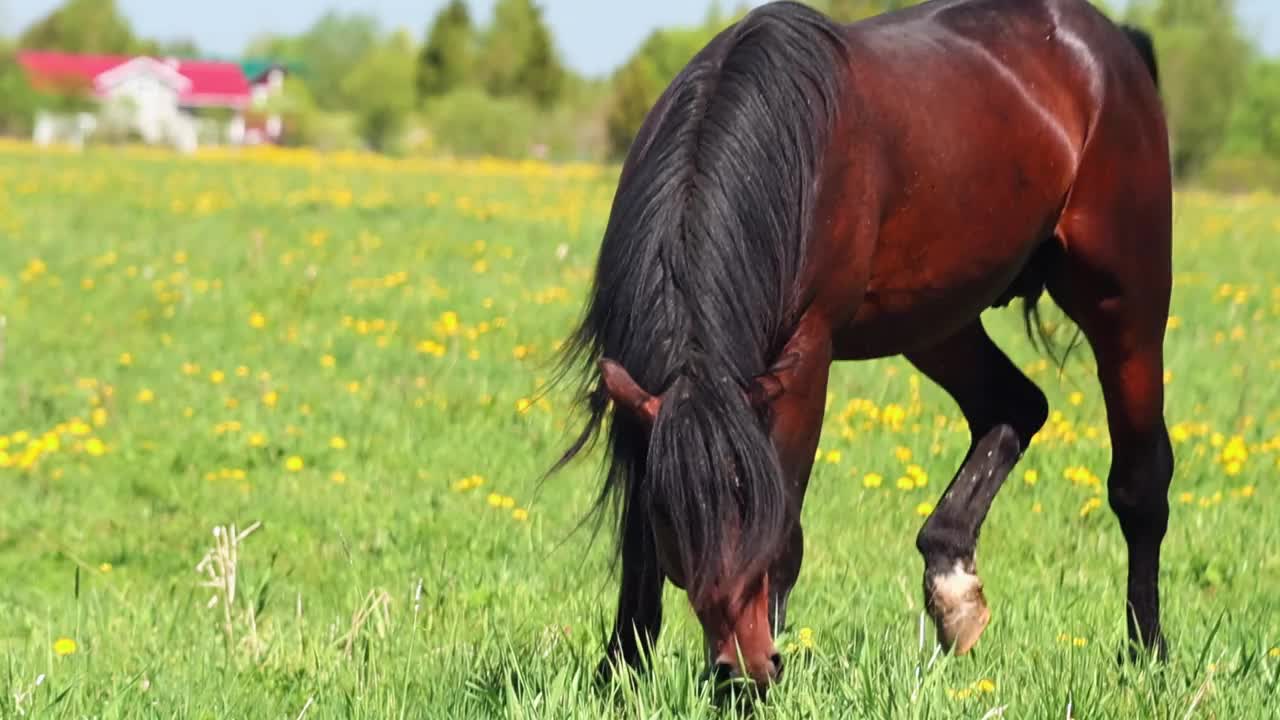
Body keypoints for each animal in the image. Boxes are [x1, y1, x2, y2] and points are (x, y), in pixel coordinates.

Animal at [547, 0, 1172, 691]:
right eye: (679, 525)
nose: (745, 670)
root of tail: (1112, 45)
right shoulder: (641, 393)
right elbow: (637, 546)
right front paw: (618, 674)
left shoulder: (806, 362)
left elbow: (788, 533)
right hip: (938, 320)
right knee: (1014, 406)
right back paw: (952, 587)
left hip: (1127, 300)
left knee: (1140, 483)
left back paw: (1147, 652)